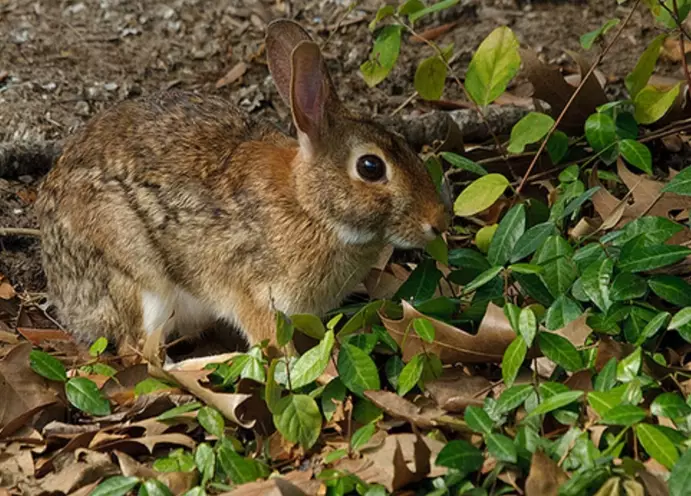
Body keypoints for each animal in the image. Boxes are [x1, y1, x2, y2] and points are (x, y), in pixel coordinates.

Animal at [35, 19, 449, 358]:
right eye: (370, 167)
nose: (438, 222)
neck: (308, 204)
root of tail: (67, 302)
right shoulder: (254, 296)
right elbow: (271, 343)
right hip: (136, 273)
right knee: (139, 352)